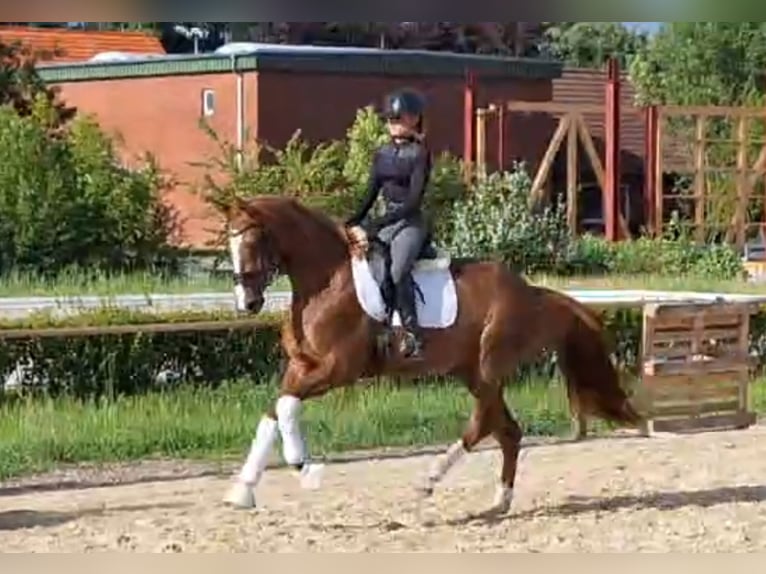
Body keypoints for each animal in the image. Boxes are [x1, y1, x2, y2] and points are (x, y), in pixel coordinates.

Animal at [225, 196, 644, 516]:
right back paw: (499, 501)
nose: (248, 303)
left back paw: (429, 479)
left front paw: (305, 467)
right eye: (229, 246)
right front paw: (242, 491)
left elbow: (286, 406)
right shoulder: (302, 366)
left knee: (482, 425)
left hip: (488, 369)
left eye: (252, 242)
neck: (325, 281)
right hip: (472, 372)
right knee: (507, 431)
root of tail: (533, 292)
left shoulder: (336, 369)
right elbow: (274, 412)